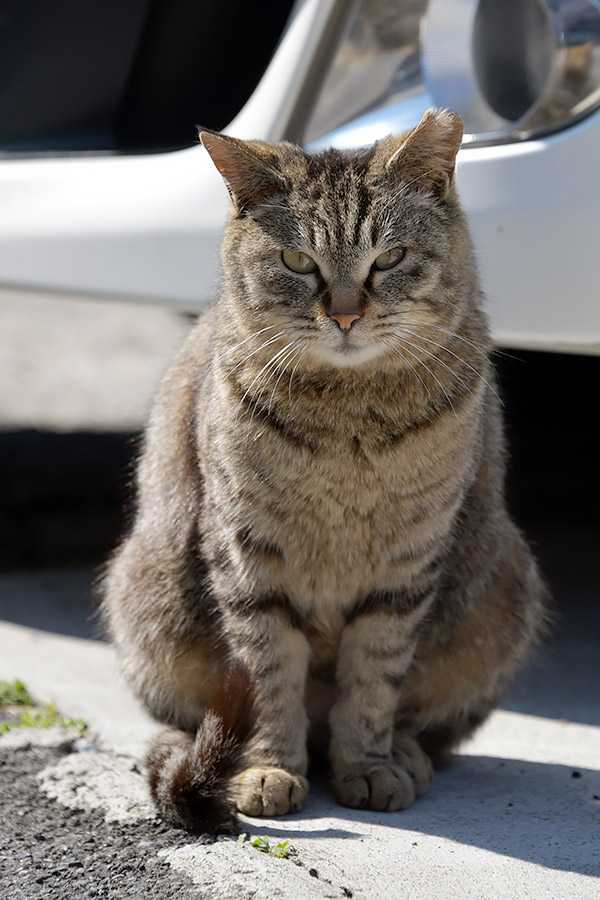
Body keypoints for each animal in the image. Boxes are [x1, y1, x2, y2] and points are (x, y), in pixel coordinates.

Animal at [102, 109, 548, 832]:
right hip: (143, 596)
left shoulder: (407, 563)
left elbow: (374, 680)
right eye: (297, 262)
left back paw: (404, 756)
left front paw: (367, 765)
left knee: (425, 727)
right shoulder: (246, 556)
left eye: (388, 258)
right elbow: (267, 674)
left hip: (504, 591)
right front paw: (268, 769)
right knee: (185, 723)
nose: (343, 313)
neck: (349, 422)